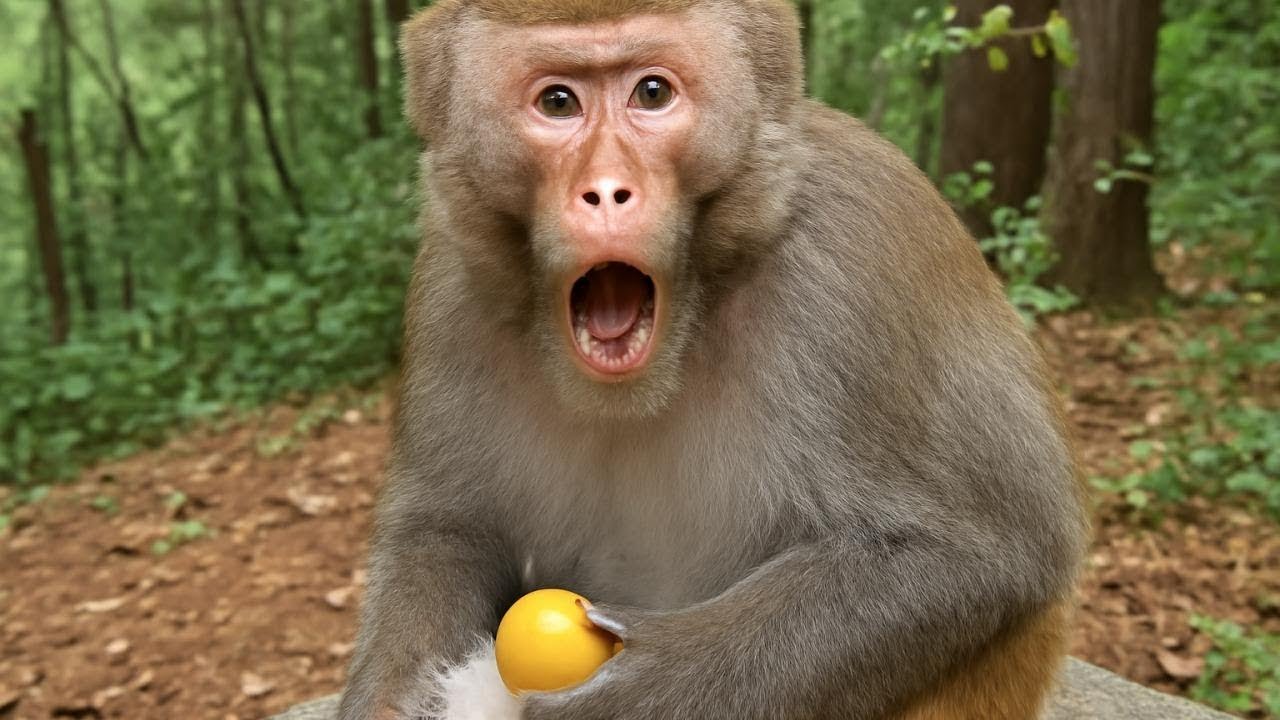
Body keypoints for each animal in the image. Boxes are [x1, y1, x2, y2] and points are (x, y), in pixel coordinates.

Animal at [338, 0, 1089, 718]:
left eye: (651, 92)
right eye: (557, 102)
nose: (606, 190)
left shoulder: (857, 250)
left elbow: (978, 552)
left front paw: (635, 692)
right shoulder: (449, 282)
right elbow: (447, 532)